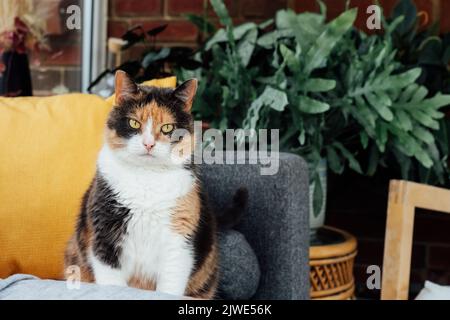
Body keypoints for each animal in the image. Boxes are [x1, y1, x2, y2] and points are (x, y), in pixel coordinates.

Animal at [63, 71, 218, 298]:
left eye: (168, 127)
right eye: (134, 123)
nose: (148, 144)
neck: (147, 179)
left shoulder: (180, 237)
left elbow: (171, 283)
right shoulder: (105, 233)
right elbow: (112, 281)